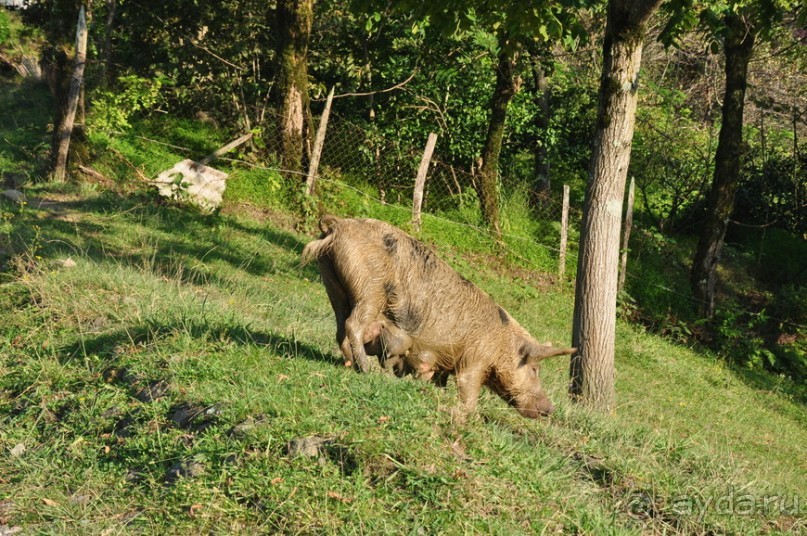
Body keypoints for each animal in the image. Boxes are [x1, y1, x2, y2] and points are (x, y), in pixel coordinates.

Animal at [304, 216, 576, 416]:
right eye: (534, 369)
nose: (550, 409)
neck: (501, 343)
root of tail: (338, 225)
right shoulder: (474, 358)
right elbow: (468, 388)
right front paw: (468, 415)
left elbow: (439, 380)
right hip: (369, 288)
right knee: (353, 324)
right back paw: (365, 369)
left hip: (333, 282)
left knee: (340, 327)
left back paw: (349, 363)